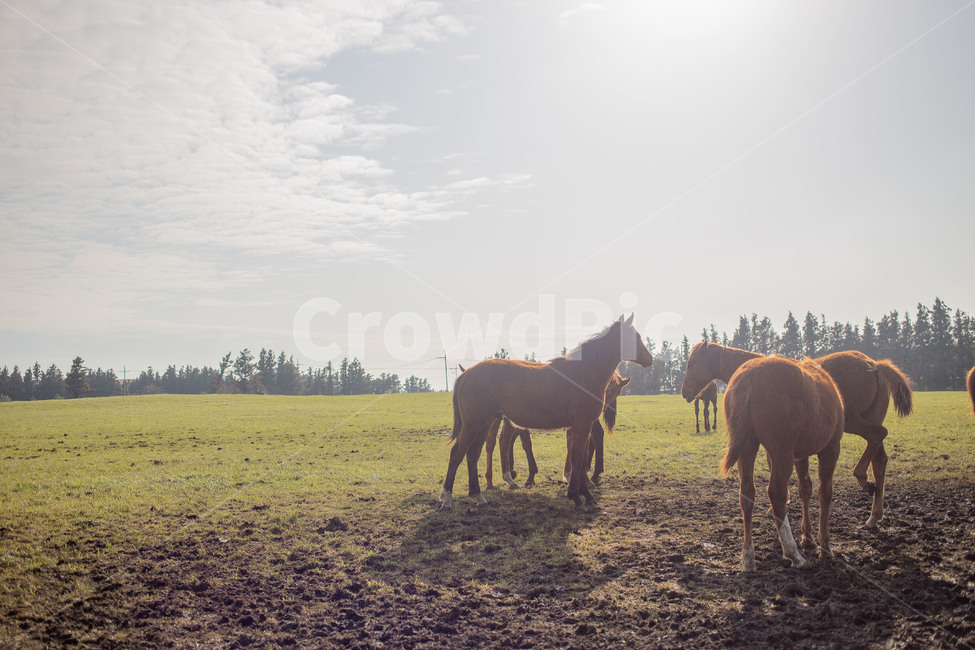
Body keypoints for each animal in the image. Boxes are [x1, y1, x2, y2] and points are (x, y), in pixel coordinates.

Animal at [440, 314, 653, 510]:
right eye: (636, 336)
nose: (650, 359)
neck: (584, 372)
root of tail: (467, 373)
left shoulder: (579, 427)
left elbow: (580, 458)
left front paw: (584, 495)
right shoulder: (582, 425)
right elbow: (578, 459)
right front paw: (578, 497)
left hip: (483, 424)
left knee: (472, 454)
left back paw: (478, 495)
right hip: (474, 424)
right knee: (457, 453)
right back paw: (447, 498)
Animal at [681, 341, 913, 528]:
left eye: (691, 364)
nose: (684, 392)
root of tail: (874, 365)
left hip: (854, 421)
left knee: (877, 436)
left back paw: (863, 480)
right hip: (869, 420)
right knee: (879, 458)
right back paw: (875, 514)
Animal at [720, 355, 844, 571]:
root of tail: (749, 374)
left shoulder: (800, 456)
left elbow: (805, 489)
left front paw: (808, 537)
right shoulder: (830, 449)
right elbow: (824, 493)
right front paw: (825, 547)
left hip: (748, 448)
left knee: (747, 493)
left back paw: (748, 557)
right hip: (782, 453)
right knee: (777, 493)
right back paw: (793, 553)